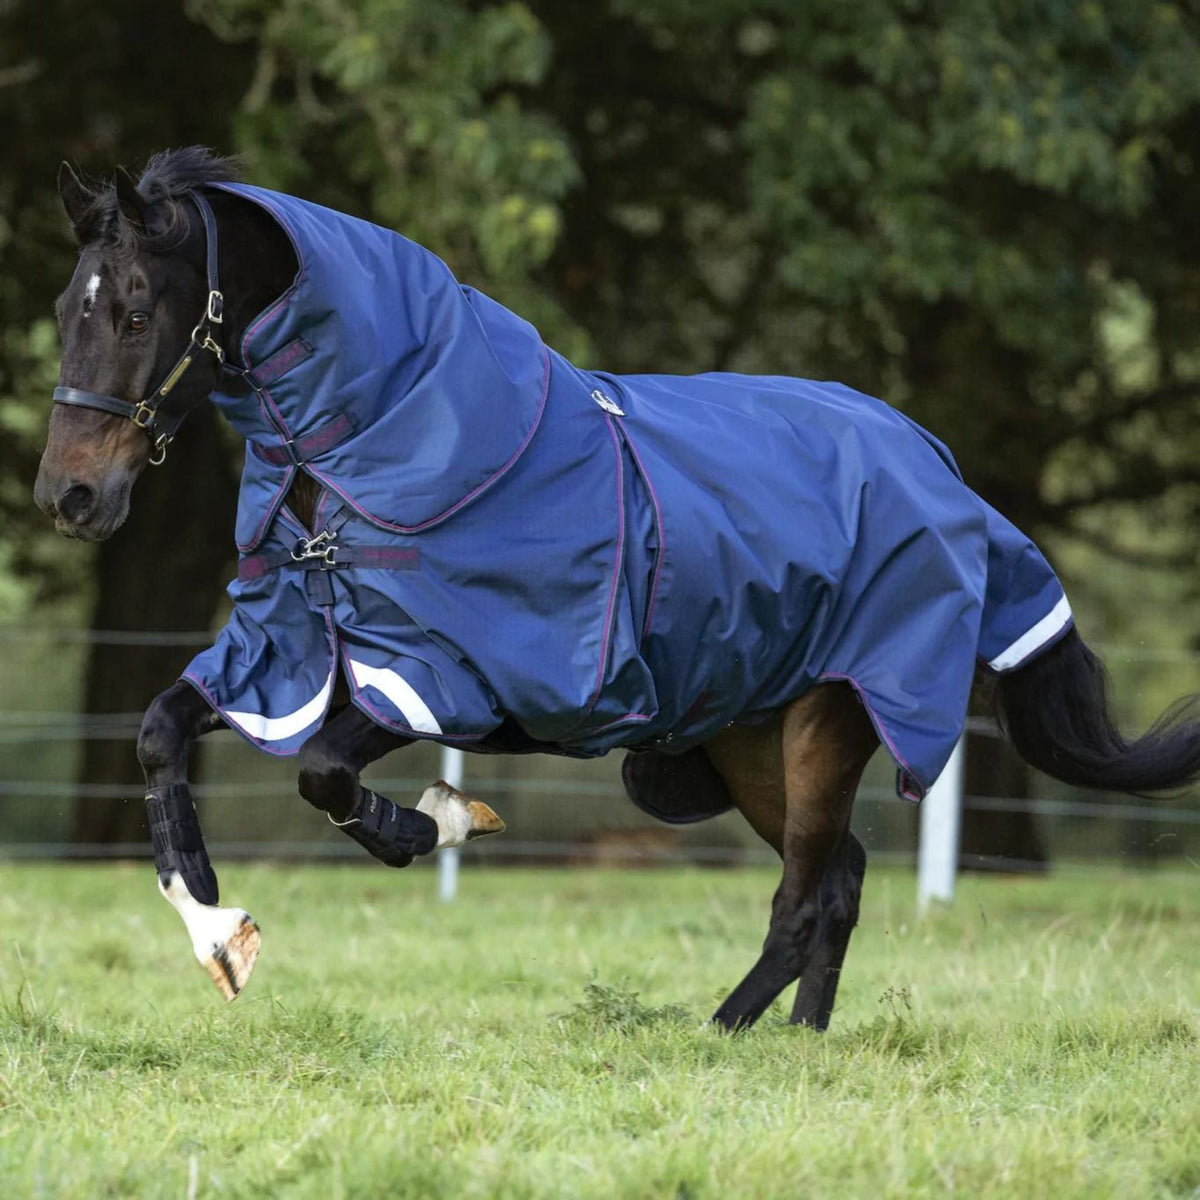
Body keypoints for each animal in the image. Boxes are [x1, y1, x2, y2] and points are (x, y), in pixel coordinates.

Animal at [34, 147, 1200, 1029]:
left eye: (133, 312)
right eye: (63, 309)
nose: (69, 494)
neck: (381, 446)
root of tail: (946, 475)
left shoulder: (442, 677)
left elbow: (323, 776)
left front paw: (444, 821)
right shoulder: (287, 656)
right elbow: (159, 733)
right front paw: (216, 931)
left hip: (832, 720)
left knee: (804, 896)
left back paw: (720, 1034)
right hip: (748, 738)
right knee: (843, 879)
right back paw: (800, 1039)